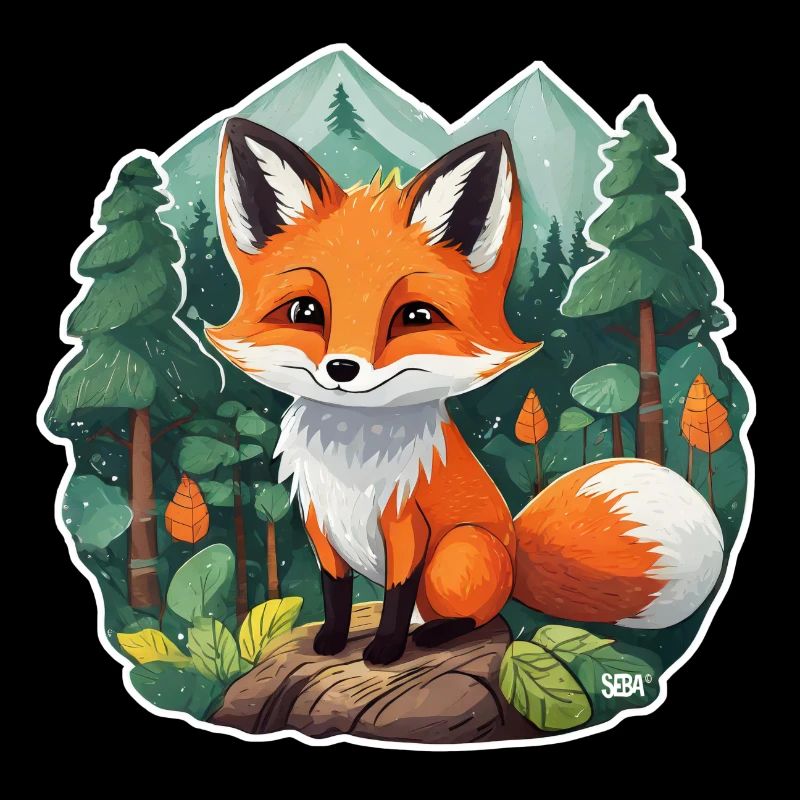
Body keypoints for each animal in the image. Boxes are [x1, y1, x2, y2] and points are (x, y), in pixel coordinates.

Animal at [206, 117, 724, 665]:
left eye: (414, 317)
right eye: (305, 312)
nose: (342, 368)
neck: (351, 462)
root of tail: (514, 557)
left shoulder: (407, 528)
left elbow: (395, 595)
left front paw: (385, 650)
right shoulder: (321, 528)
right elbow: (336, 593)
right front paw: (332, 640)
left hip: (459, 551)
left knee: (474, 615)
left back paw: (435, 634)